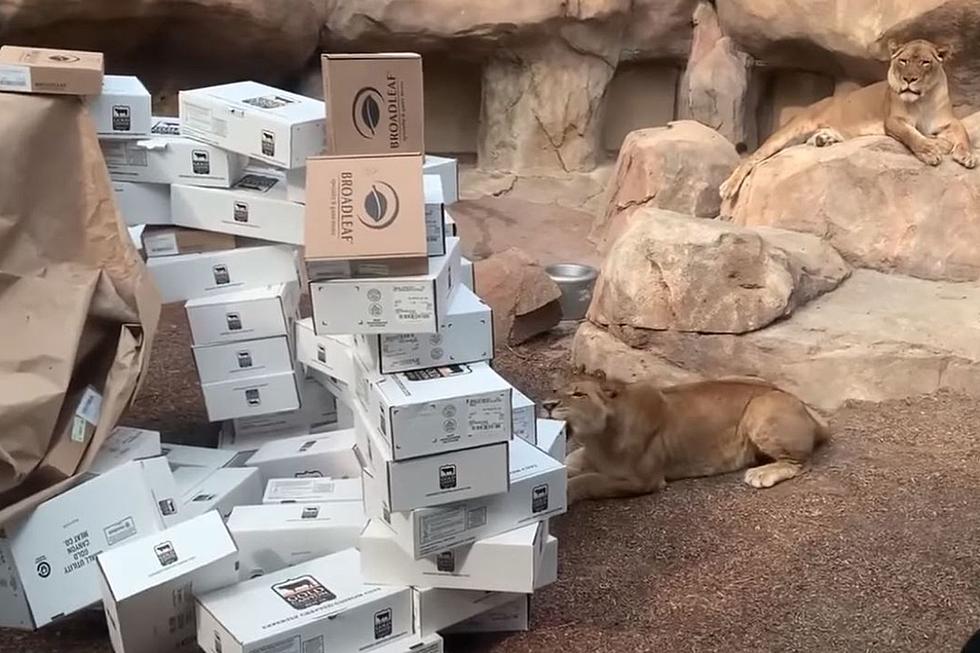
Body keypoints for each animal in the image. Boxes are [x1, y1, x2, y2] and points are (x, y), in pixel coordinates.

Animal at [548, 372, 832, 504]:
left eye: (579, 394)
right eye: (554, 390)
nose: (547, 404)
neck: (597, 439)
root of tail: (807, 409)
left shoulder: (643, 480)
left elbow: (589, 480)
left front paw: (565, 491)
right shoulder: (587, 456)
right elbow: (571, 462)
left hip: (760, 407)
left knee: (799, 463)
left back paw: (762, 473)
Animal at [716, 38, 976, 206]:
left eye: (924, 62)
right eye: (902, 61)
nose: (908, 79)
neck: (923, 100)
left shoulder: (949, 121)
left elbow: (963, 132)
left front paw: (967, 155)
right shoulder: (893, 121)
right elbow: (913, 135)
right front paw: (930, 150)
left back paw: (823, 139)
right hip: (789, 130)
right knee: (753, 158)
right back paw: (728, 186)